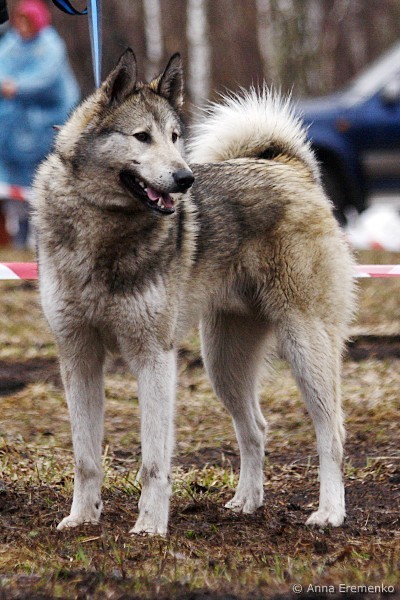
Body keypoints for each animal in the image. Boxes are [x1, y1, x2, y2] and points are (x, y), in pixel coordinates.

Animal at [32, 49, 355, 536]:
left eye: (175, 136)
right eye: (142, 137)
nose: (185, 179)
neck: (104, 228)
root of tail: (289, 169)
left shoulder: (153, 358)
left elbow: (153, 462)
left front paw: (149, 527)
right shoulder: (78, 357)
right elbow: (85, 458)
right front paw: (82, 518)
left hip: (306, 345)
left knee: (330, 432)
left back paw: (330, 511)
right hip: (223, 362)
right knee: (255, 429)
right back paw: (246, 501)